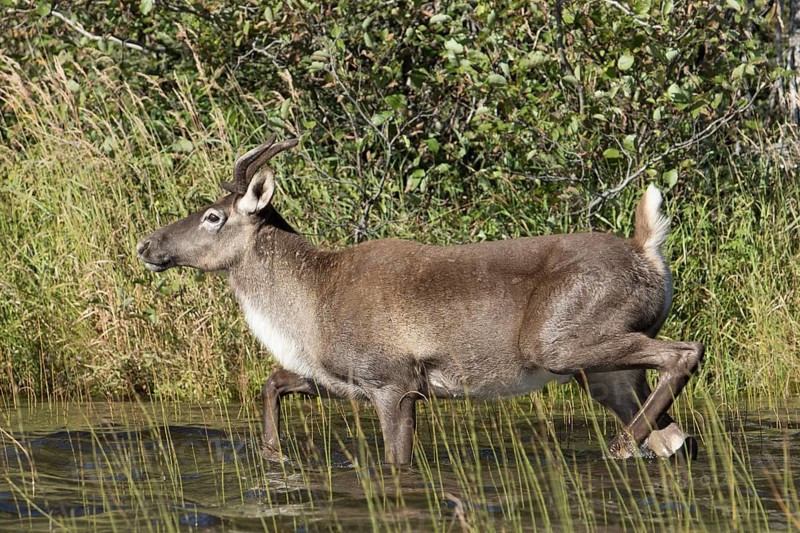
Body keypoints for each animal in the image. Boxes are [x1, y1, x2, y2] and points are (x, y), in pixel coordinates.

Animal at [137, 136, 704, 465]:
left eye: (213, 216)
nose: (147, 245)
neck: (308, 309)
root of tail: (648, 254)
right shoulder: (340, 379)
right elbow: (272, 382)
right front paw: (273, 455)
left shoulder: (394, 380)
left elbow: (396, 461)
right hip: (604, 374)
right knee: (676, 437)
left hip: (562, 341)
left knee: (686, 353)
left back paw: (618, 446)